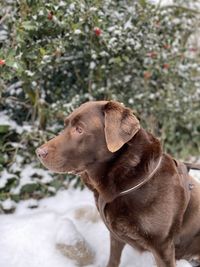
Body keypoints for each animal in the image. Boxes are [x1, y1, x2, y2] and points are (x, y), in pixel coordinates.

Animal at [36, 101, 200, 267]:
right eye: (65, 126)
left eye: (79, 129)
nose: (38, 152)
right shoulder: (115, 236)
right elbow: (113, 259)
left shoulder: (162, 246)